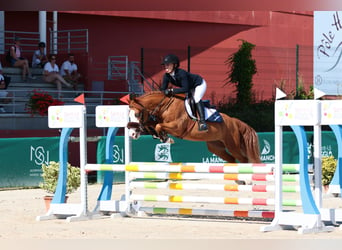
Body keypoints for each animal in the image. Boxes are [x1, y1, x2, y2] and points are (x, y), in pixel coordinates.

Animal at [127, 91, 260, 163]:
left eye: (137, 114)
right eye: (129, 115)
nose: (132, 134)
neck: (165, 106)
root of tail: (234, 122)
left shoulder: (178, 128)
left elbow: (159, 126)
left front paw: (166, 139)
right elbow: (154, 124)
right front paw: (160, 136)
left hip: (232, 145)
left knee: (243, 160)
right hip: (216, 147)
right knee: (232, 159)